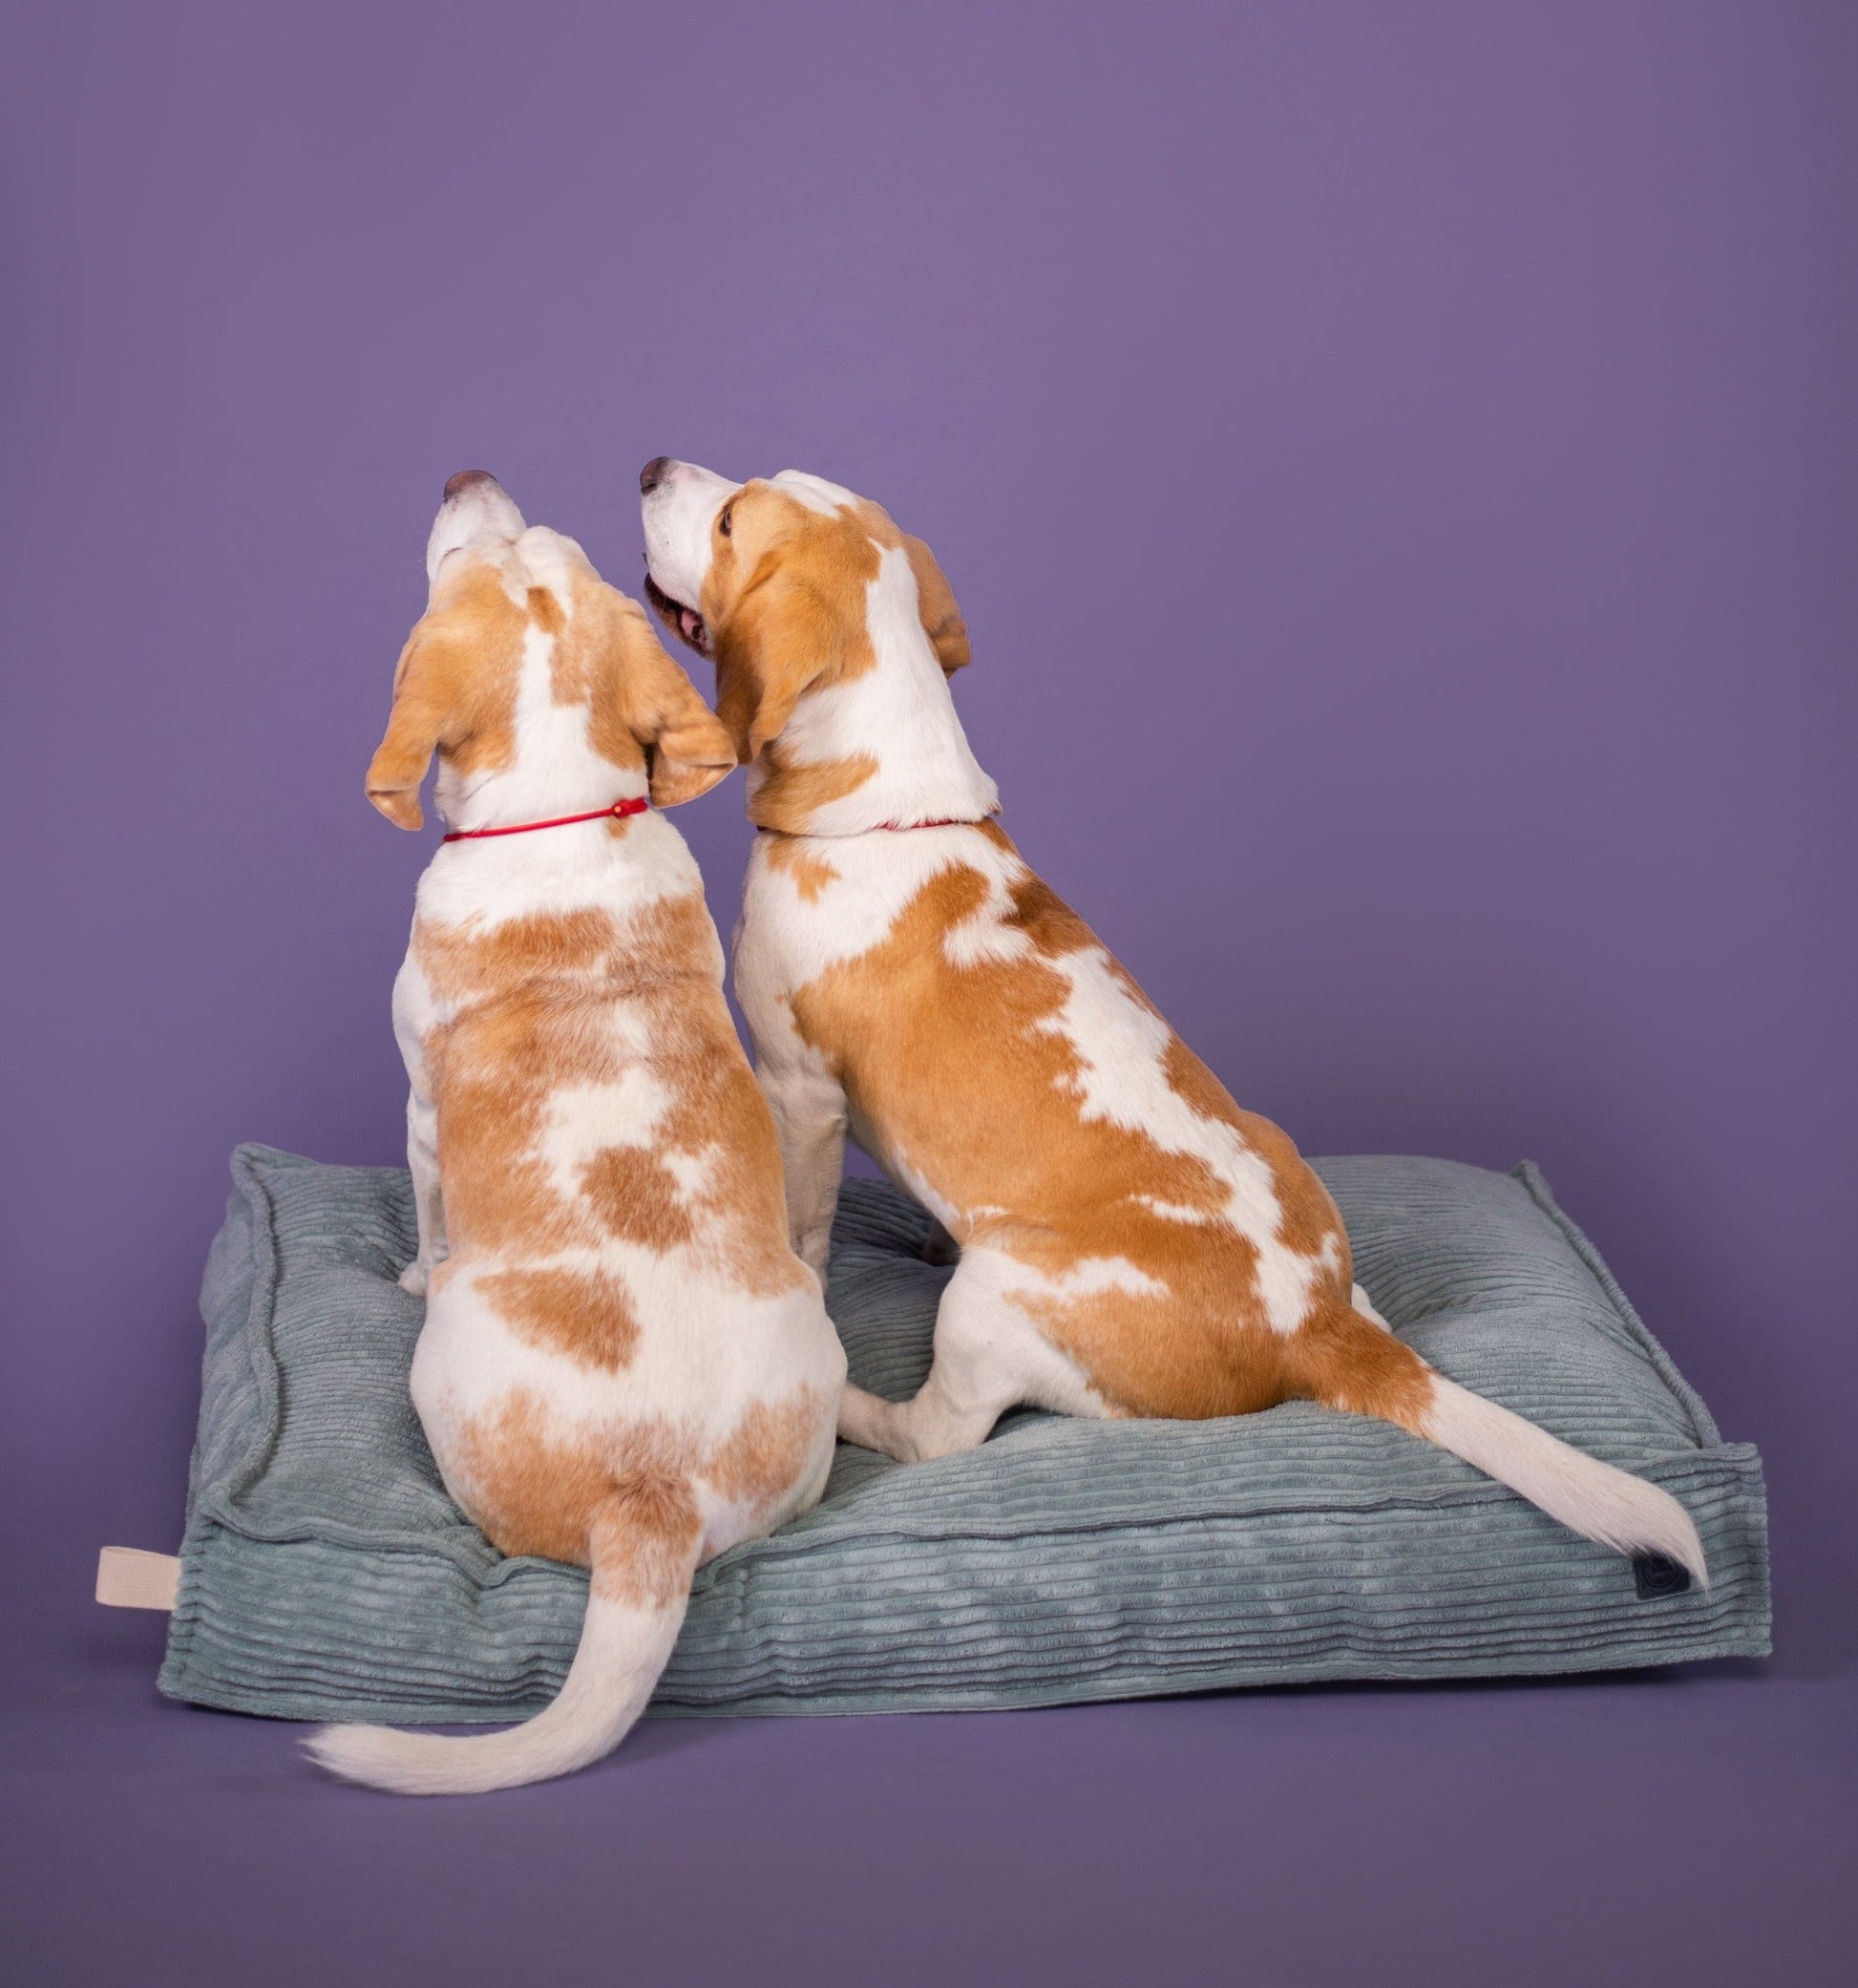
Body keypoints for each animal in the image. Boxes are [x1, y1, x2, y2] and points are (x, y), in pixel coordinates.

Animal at [307, 473, 847, 1794]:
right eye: (543, 544)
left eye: (475, 559)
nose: (469, 476)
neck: (555, 811)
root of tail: (651, 1504)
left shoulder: (416, 1107)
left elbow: (423, 1209)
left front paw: (407, 1264)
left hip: (439, 1370)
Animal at [638, 456, 1706, 1587]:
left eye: (728, 519)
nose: (651, 467)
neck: (888, 810)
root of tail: (1315, 1330)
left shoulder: (798, 1091)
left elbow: (803, 1235)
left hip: (990, 1298)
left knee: (939, 1436)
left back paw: (855, 1406)